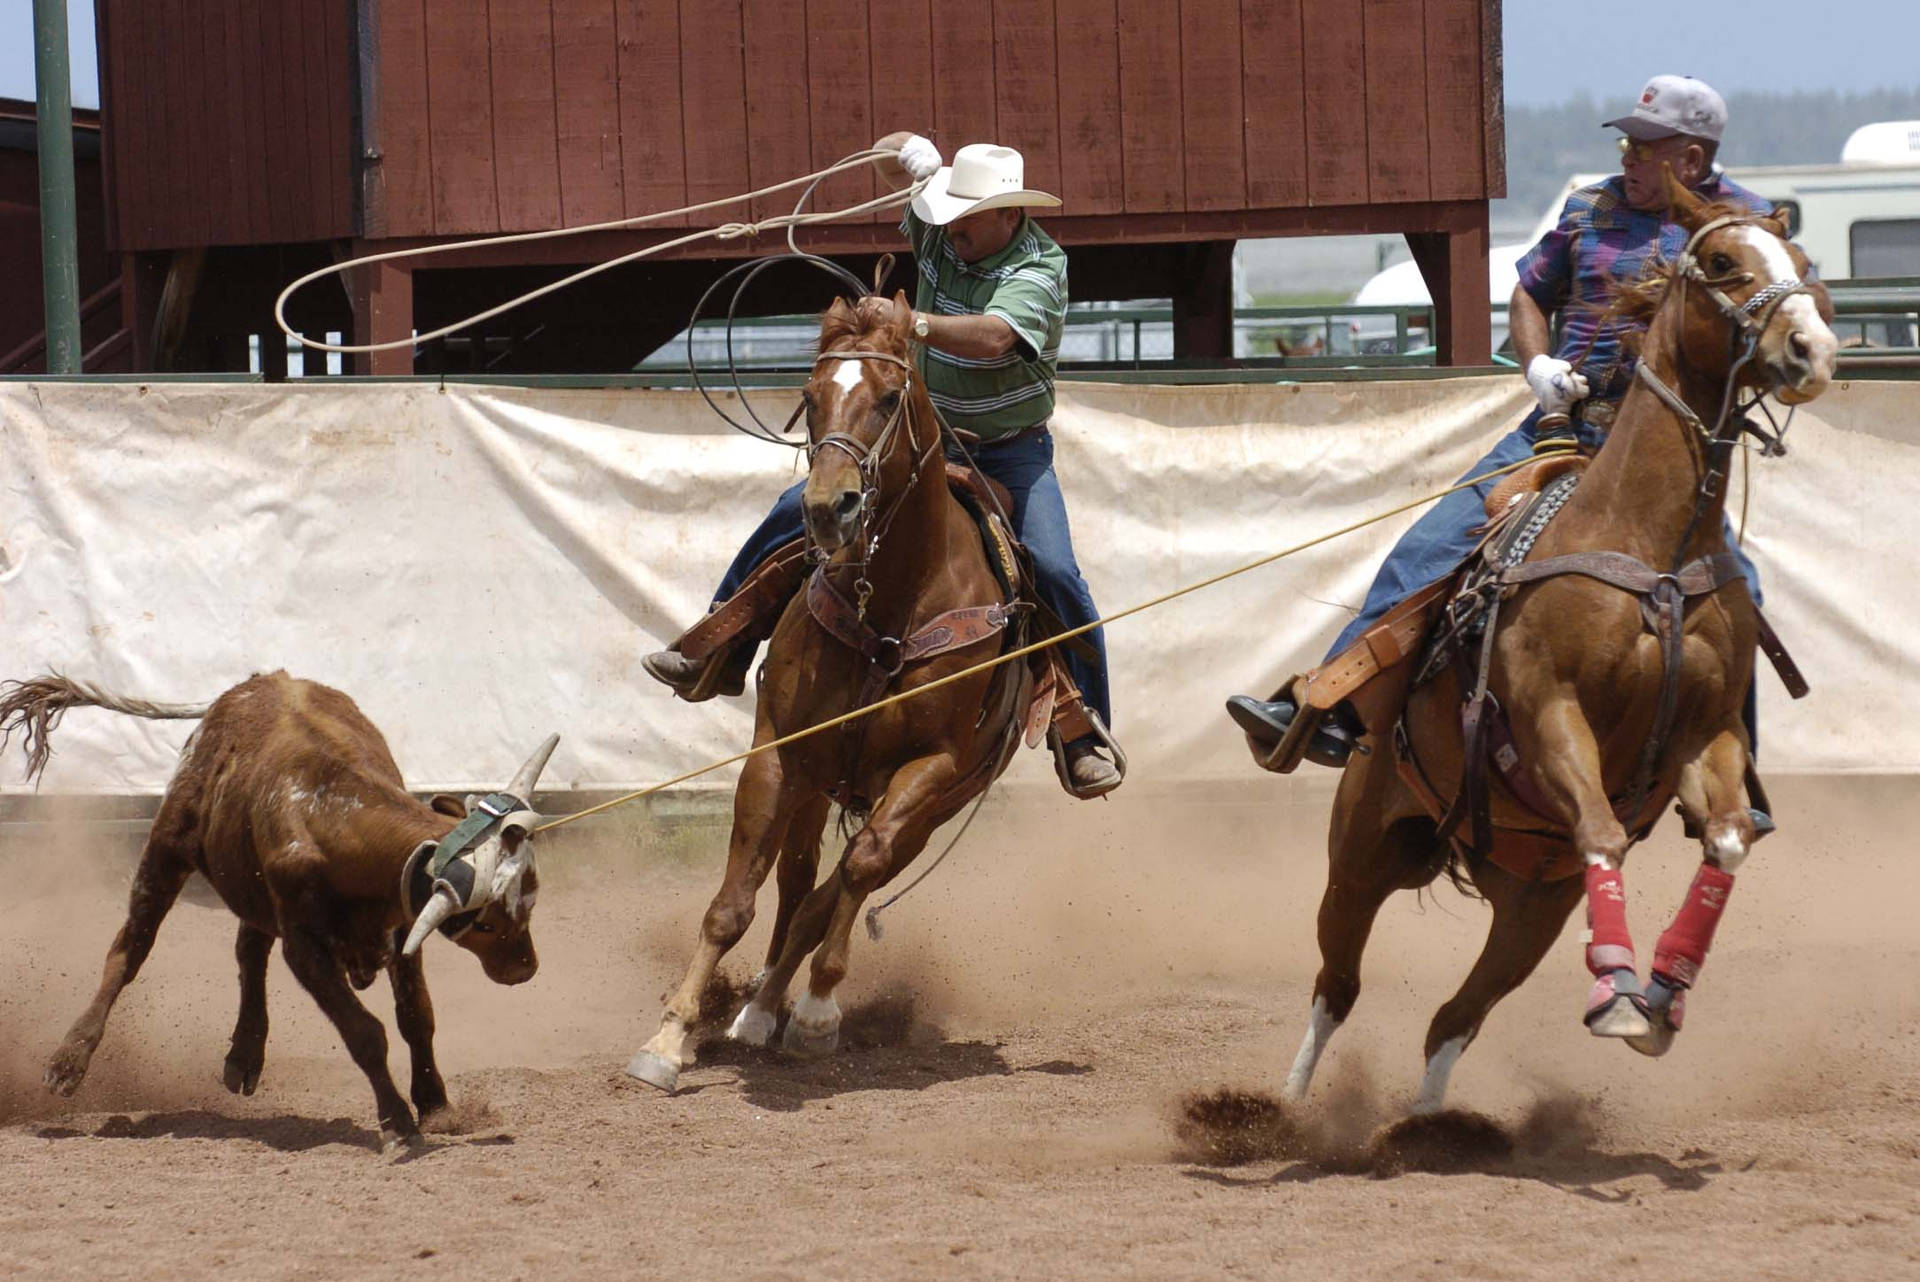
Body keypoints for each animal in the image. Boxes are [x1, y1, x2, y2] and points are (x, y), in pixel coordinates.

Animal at [629, 293, 1029, 1090]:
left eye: (889, 397)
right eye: (810, 398)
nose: (828, 508)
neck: (892, 602)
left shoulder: (933, 768)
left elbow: (858, 872)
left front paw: (815, 1013)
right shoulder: (781, 753)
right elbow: (733, 904)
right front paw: (669, 1036)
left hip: (939, 806)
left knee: (840, 882)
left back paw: (782, 1007)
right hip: (818, 784)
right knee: (798, 879)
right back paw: (755, 1009)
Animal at [1282, 175, 1835, 1113]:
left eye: (1799, 261)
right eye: (1725, 263)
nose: (1814, 350)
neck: (1650, 547)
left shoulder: (1706, 734)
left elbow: (1726, 837)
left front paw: (1660, 994)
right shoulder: (1550, 711)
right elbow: (1604, 830)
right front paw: (1619, 993)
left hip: (1534, 901)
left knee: (1455, 1016)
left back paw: (1429, 1125)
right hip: (1363, 848)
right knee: (1335, 985)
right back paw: (1284, 1107)